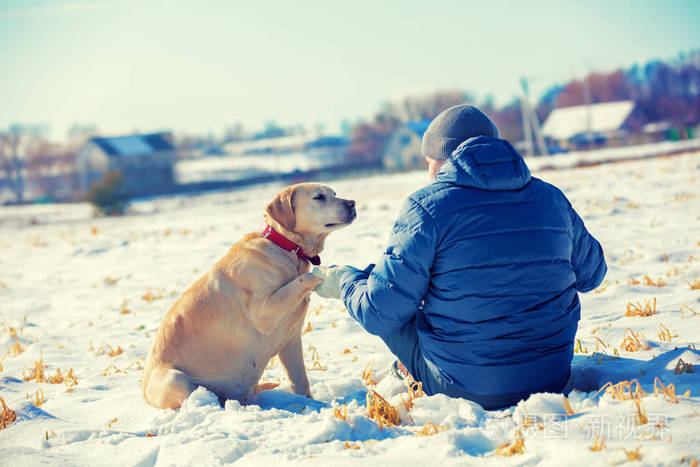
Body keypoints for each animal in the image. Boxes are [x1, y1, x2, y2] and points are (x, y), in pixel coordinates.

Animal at [145, 183, 358, 410]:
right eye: (319, 197)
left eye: (334, 193)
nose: (352, 203)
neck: (284, 247)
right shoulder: (263, 311)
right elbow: (303, 279)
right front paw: (328, 275)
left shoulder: (291, 339)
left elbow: (300, 379)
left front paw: (312, 403)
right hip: (175, 379)